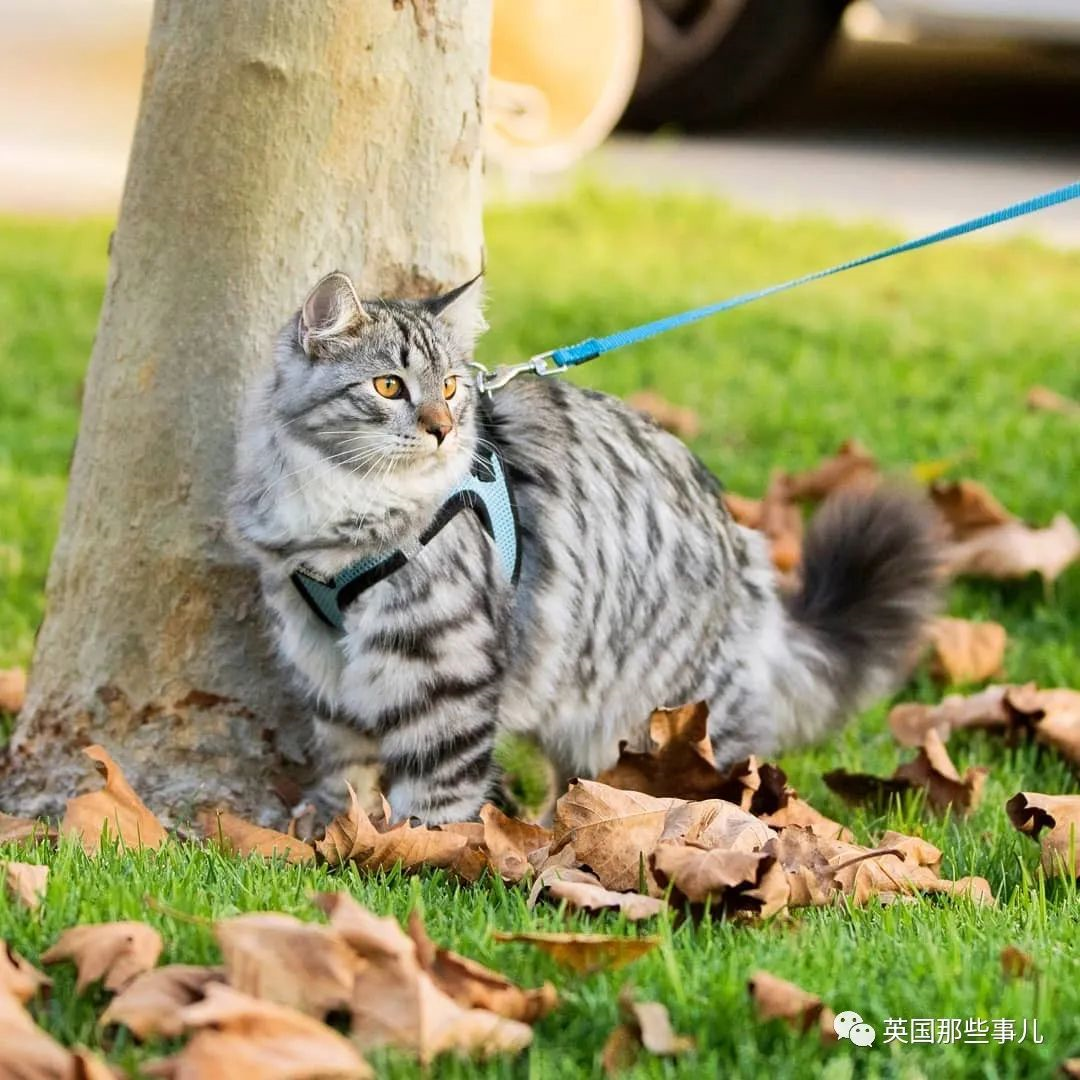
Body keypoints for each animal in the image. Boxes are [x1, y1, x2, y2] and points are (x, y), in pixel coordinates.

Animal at [232, 267, 941, 816]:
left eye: (452, 388)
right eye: (388, 386)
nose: (441, 428)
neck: (339, 512)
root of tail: (751, 559)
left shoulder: (447, 667)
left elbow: (438, 789)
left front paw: (418, 855)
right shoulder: (324, 662)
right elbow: (345, 768)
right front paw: (332, 830)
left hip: (672, 716)